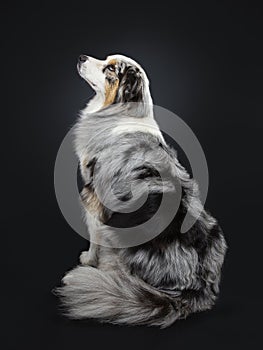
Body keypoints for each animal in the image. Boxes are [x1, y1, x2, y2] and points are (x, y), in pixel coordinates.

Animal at [56, 53, 228, 326]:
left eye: (109, 69)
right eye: (106, 59)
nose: (82, 57)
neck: (121, 112)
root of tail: (194, 290)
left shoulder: (93, 196)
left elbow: (93, 235)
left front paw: (89, 260)